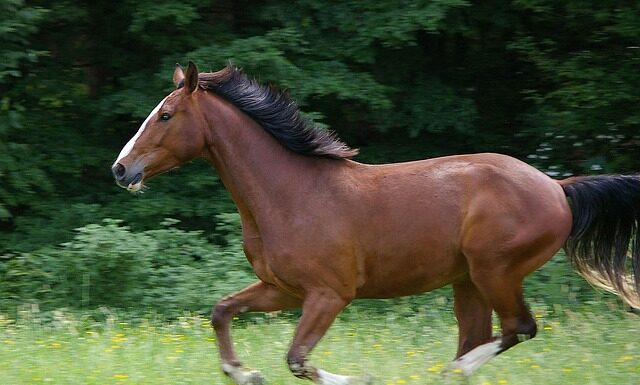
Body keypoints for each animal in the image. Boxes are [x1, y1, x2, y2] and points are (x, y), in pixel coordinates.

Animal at [111, 61, 640, 382]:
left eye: (166, 115)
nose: (121, 169)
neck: (290, 195)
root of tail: (556, 187)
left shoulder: (330, 294)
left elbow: (298, 360)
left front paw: (358, 377)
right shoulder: (283, 290)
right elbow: (221, 311)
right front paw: (245, 373)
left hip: (495, 271)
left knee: (518, 328)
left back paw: (448, 373)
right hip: (467, 281)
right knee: (483, 336)